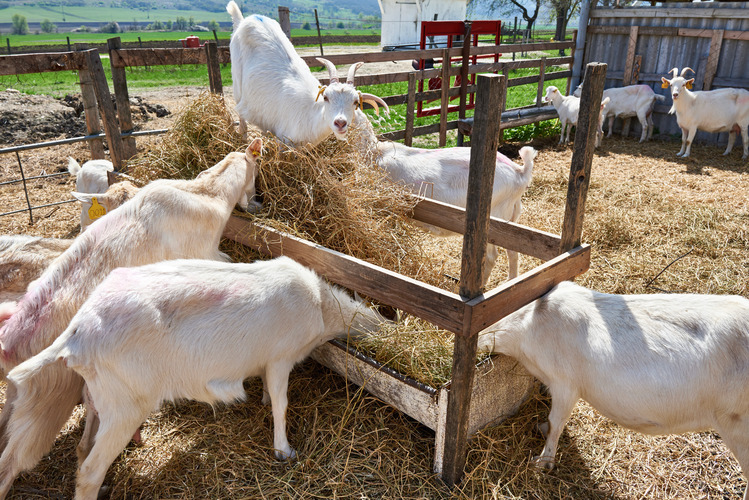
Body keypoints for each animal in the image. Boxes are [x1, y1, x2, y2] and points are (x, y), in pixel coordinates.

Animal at [0, 139, 263, 500]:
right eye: (257, 170)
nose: (257, 203)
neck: (205, 195)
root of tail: (11, 339)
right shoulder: (203, 258)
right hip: (47, 399)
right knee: (13, 462)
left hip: (17, 396)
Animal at [7, 256, 383, 499]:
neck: (320, 303)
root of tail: (77, 332)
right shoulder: (281, 358)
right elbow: (281, 403)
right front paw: (283, 450)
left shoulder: (268, 361)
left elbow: (269, 392)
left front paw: (263, 402)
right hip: (127, 405)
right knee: (88, 472)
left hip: (100, 396)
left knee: (83, 449)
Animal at [225, 2, 387, 145]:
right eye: (326, 98)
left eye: (355, 102)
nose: (340, 123)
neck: (311, 113)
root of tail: (245, 20)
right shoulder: (285, 141)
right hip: (237, 83)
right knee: (241, 116)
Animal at [477, 281, 749, 500]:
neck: (528, 323)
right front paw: (541, 429)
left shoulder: (565, 384)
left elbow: (557, 422)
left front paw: (542, 462)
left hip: (738, 425)